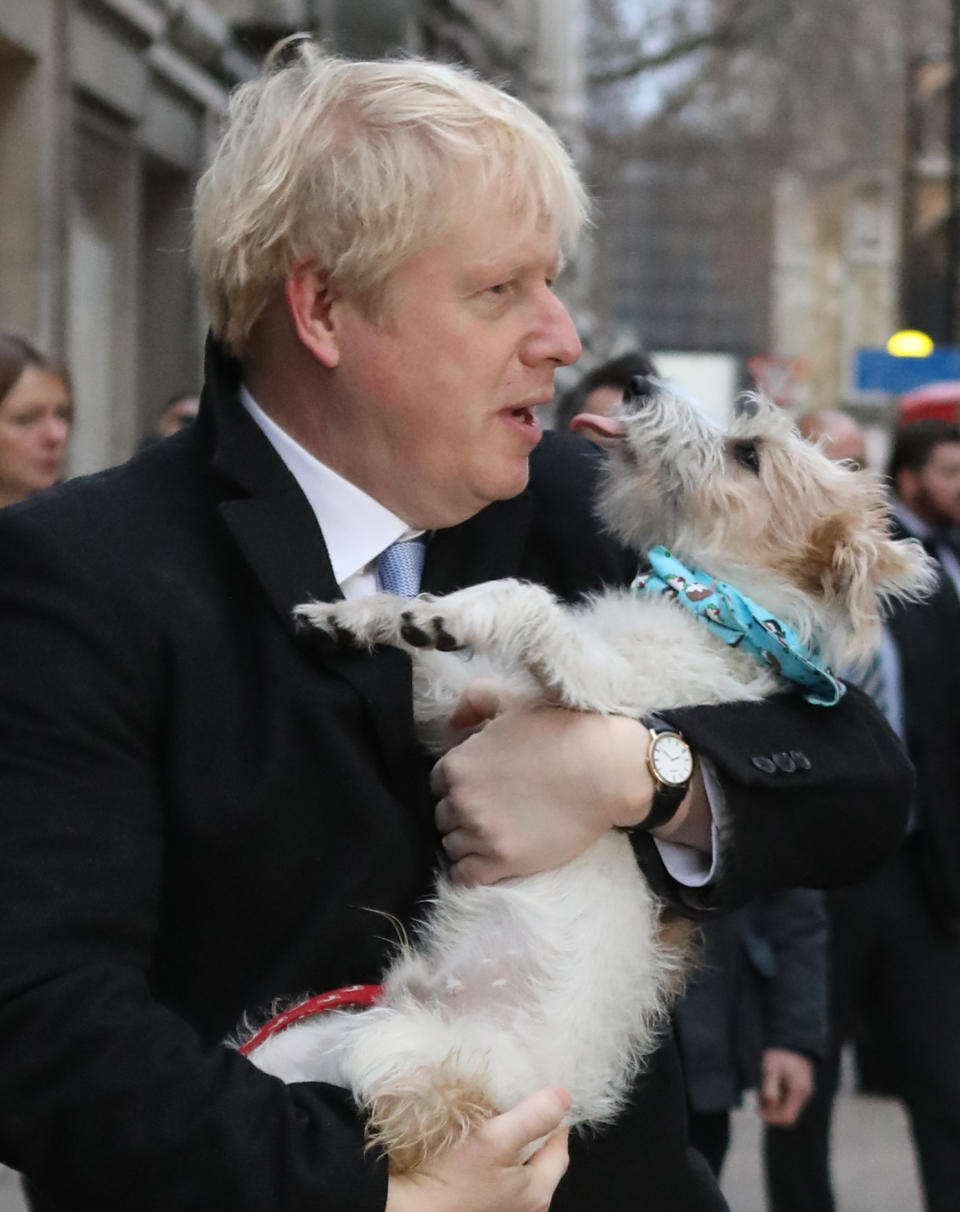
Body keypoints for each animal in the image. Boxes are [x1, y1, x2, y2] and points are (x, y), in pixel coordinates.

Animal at [237, 380, 930, 1173]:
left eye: (749, 455)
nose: (640, 385)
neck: (712, 608)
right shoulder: (466, 708)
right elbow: (424, 657)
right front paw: (355, 617)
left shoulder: (597, 690)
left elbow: (524, 598)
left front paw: (452, 613)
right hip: (307, 1040)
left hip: (387, 1052)